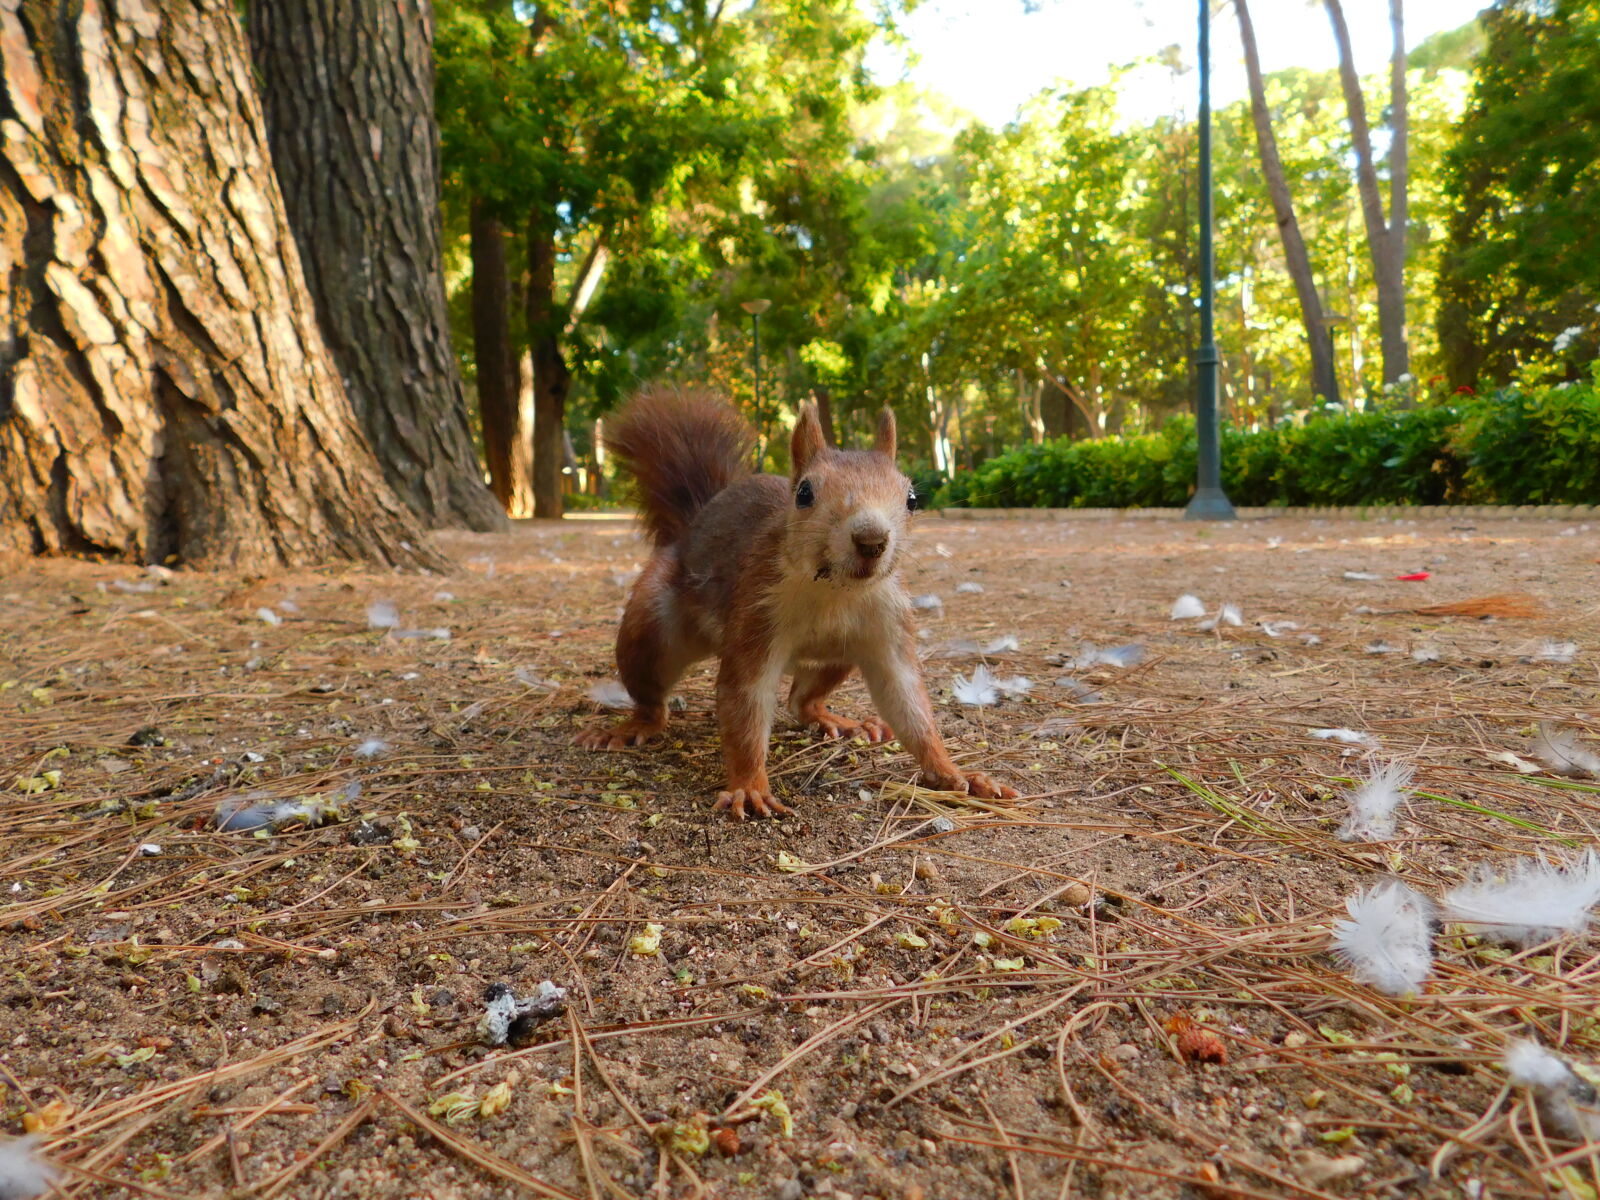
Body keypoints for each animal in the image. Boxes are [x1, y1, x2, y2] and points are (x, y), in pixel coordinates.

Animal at [576, 386, 1018, 819]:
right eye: (804, 493)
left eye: (911, 498)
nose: (871, 540)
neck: (834, 590)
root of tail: (693, 525)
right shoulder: (757, 613)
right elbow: (745, 702)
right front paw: (750, 785)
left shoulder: (889, 624)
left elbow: (909, 703)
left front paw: (954, 773)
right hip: (650, 625)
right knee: (650, 693)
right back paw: (632, 726)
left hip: (840, 655)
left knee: (800, 700)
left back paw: (837, 720)